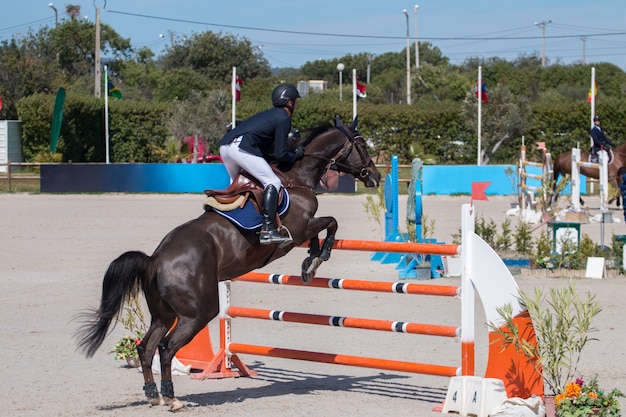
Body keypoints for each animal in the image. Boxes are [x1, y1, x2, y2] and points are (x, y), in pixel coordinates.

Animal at [73, 116, 380, 410]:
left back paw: (153, 395)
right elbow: (331, 223)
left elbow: (321, 231)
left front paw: (309, 264)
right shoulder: (300, 227)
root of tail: (155, 260)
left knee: (146, 347)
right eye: (362, 145)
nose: (376, 177)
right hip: (197, 313)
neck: (296, 178)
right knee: (166, 348)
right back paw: (172, 398)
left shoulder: (304, 229)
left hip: (164, 314)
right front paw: (318, 258)